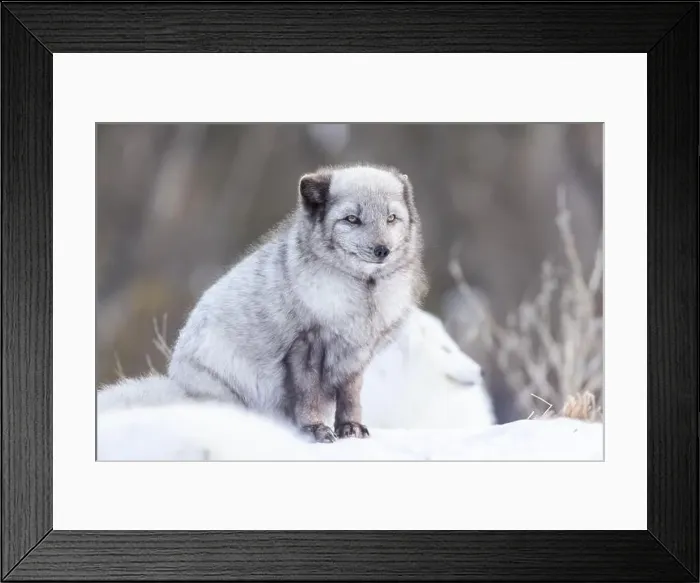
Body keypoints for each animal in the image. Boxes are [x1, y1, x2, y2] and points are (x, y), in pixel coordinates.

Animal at [166, 163, 427, 443]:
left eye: (391, 218)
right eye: (351, 219)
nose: (382, 250)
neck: (364, 295)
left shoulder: (356, 354)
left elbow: (351, 396)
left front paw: (351, 427)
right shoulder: (305, 344)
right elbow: (308, 395)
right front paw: (315, 429)